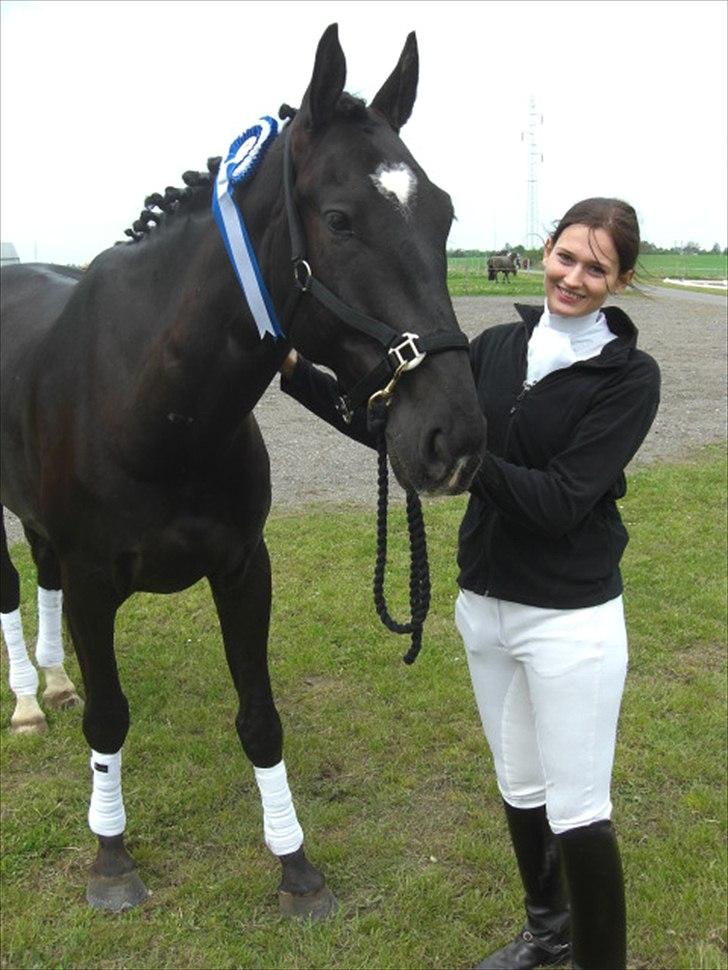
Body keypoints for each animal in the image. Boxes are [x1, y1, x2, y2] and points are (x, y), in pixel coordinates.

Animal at [1, 24, 490, 916]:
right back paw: (27, 701)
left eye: (443, 215)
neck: (152, 406)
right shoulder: (94, 583)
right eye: (339, 219)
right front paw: (111, 856)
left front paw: (294, 865)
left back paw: (52, 682)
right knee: (14, 589)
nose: (454, 437)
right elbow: (109, 720)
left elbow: (260, 718)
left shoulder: (242, 568)